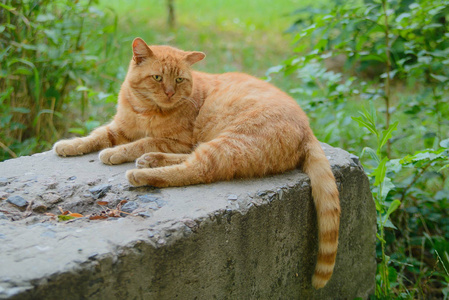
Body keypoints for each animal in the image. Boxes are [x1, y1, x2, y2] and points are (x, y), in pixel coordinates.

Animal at [52, 37, 340, 288]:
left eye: (179, 80)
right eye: (158, 78)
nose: (170, 93)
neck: (145, 109)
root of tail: (308, 128)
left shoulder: (175, 140)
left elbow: (142, 142)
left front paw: (116, 153)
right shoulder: (120, 128)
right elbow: (97, 136)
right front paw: (69, 145)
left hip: (227, 142)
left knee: (196, 169)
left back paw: (143, 173)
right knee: (189, 160)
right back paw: (150, 162)